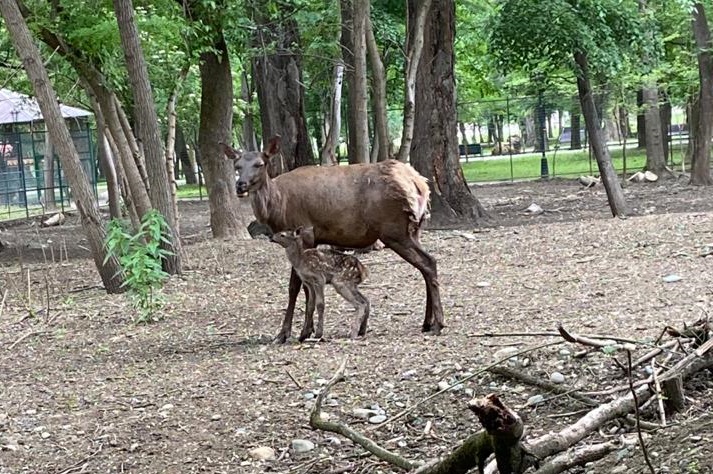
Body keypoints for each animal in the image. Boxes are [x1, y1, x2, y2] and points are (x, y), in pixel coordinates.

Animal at [222, 135, 444, 342]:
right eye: (237, 165)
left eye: (260, 164)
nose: (240, 185)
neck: (277, 206)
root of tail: (420, 185)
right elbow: (305, 288)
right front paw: (305, 330)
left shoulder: (305, 232)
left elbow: (296, 287)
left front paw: (290, 333)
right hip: (414, 229)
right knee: (427, 266)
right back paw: (427, 322)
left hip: (394, 230)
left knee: (428, 263)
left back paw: (438, 323)